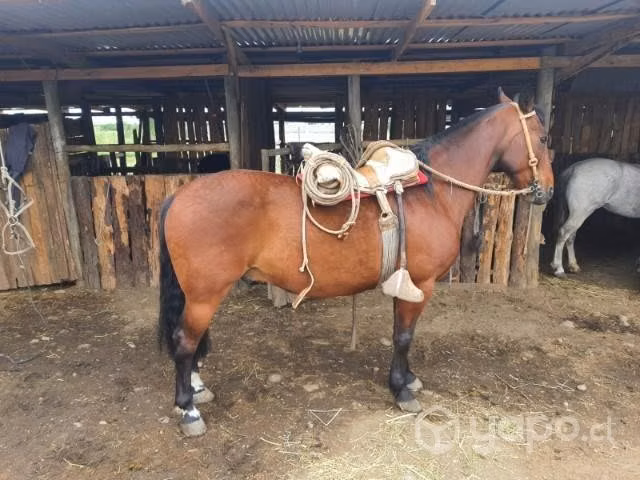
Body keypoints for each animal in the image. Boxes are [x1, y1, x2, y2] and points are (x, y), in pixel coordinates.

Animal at [157, 89, 554, 436]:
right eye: (544, 138)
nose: (547, 191)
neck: (432, 193)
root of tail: (179, 196)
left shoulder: (405, 283)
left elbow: (401, 334)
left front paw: (408, 379)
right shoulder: (420, 284)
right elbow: (404, 336)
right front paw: (401, 390)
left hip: (201, 294)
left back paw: (197, 389)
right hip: (206, 295)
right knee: (184, 341)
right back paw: (188, 409)